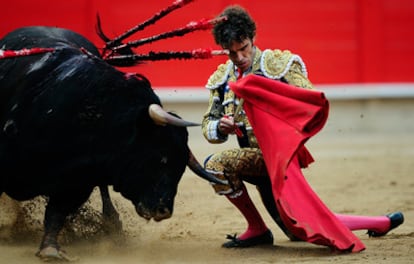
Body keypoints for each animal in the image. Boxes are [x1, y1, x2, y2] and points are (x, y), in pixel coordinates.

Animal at [0, 26, 225, 260]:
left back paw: (110, 224)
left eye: (181, 168)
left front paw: (50, 249)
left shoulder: (78, 182)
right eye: (160, 158)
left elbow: (56, 212)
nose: (164, 211)